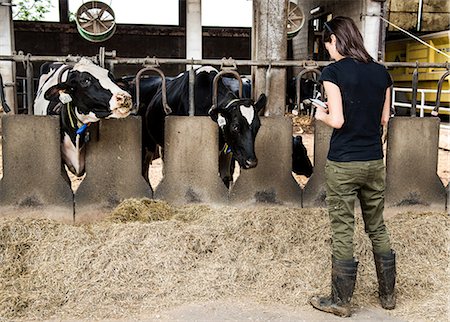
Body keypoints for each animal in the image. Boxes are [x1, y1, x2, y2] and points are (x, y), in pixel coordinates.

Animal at [140, 65, 268, 186]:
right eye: (235, 127)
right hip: (149, 143)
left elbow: (225, 178)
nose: (252, 162)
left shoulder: (226, 150)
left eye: (257, 126)